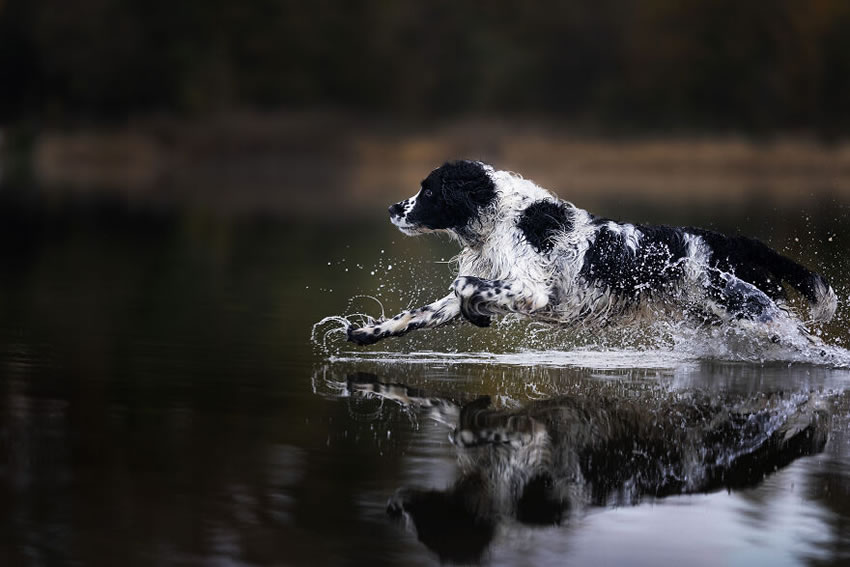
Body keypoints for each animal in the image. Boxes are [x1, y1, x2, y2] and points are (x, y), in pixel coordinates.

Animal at [344, 160, 836, 346]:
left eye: (428, 191)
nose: (393, 208)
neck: (505, 217)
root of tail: (728, 241)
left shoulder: (533, 291)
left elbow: (464, 284)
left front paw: (477, 315)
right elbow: (422, 311)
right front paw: (367, 332)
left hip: (751, 310)